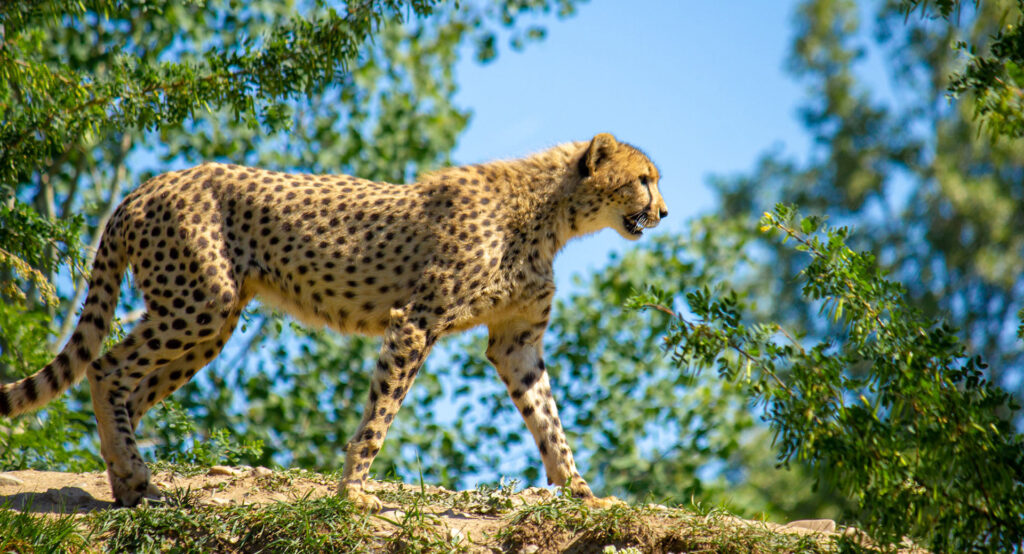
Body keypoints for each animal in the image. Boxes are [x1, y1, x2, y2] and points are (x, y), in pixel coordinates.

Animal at [0, 133, 667, 510]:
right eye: (643, 179)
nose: (662, 212)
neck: (552, 212)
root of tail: (149, 183)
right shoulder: (416, 321)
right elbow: (381, 413)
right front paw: (355, 491)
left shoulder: (517, 342)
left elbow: (548, 420)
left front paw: (581, 492)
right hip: (198, 303)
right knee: (107, 370)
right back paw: (135, 481)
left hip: (208, 320)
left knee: (131, 392)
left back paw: (130, 486)